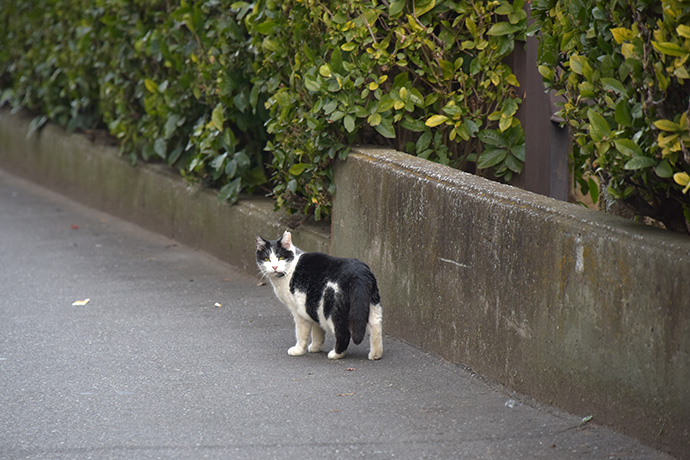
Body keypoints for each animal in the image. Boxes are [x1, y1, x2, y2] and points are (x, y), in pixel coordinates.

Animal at [254, 232, 382, 362]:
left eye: (280, 258)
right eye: (267, 259)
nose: (274, 267)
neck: (289, 271)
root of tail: (358, 272)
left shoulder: (299, 311)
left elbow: (301, 333)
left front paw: (298, 350)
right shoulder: (313, 305)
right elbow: (317, 329)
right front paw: (316, 347)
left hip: (330, 308)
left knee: (343, 333)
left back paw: (336, 354)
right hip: (371, 305)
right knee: (376, 326)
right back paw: (376, 355)